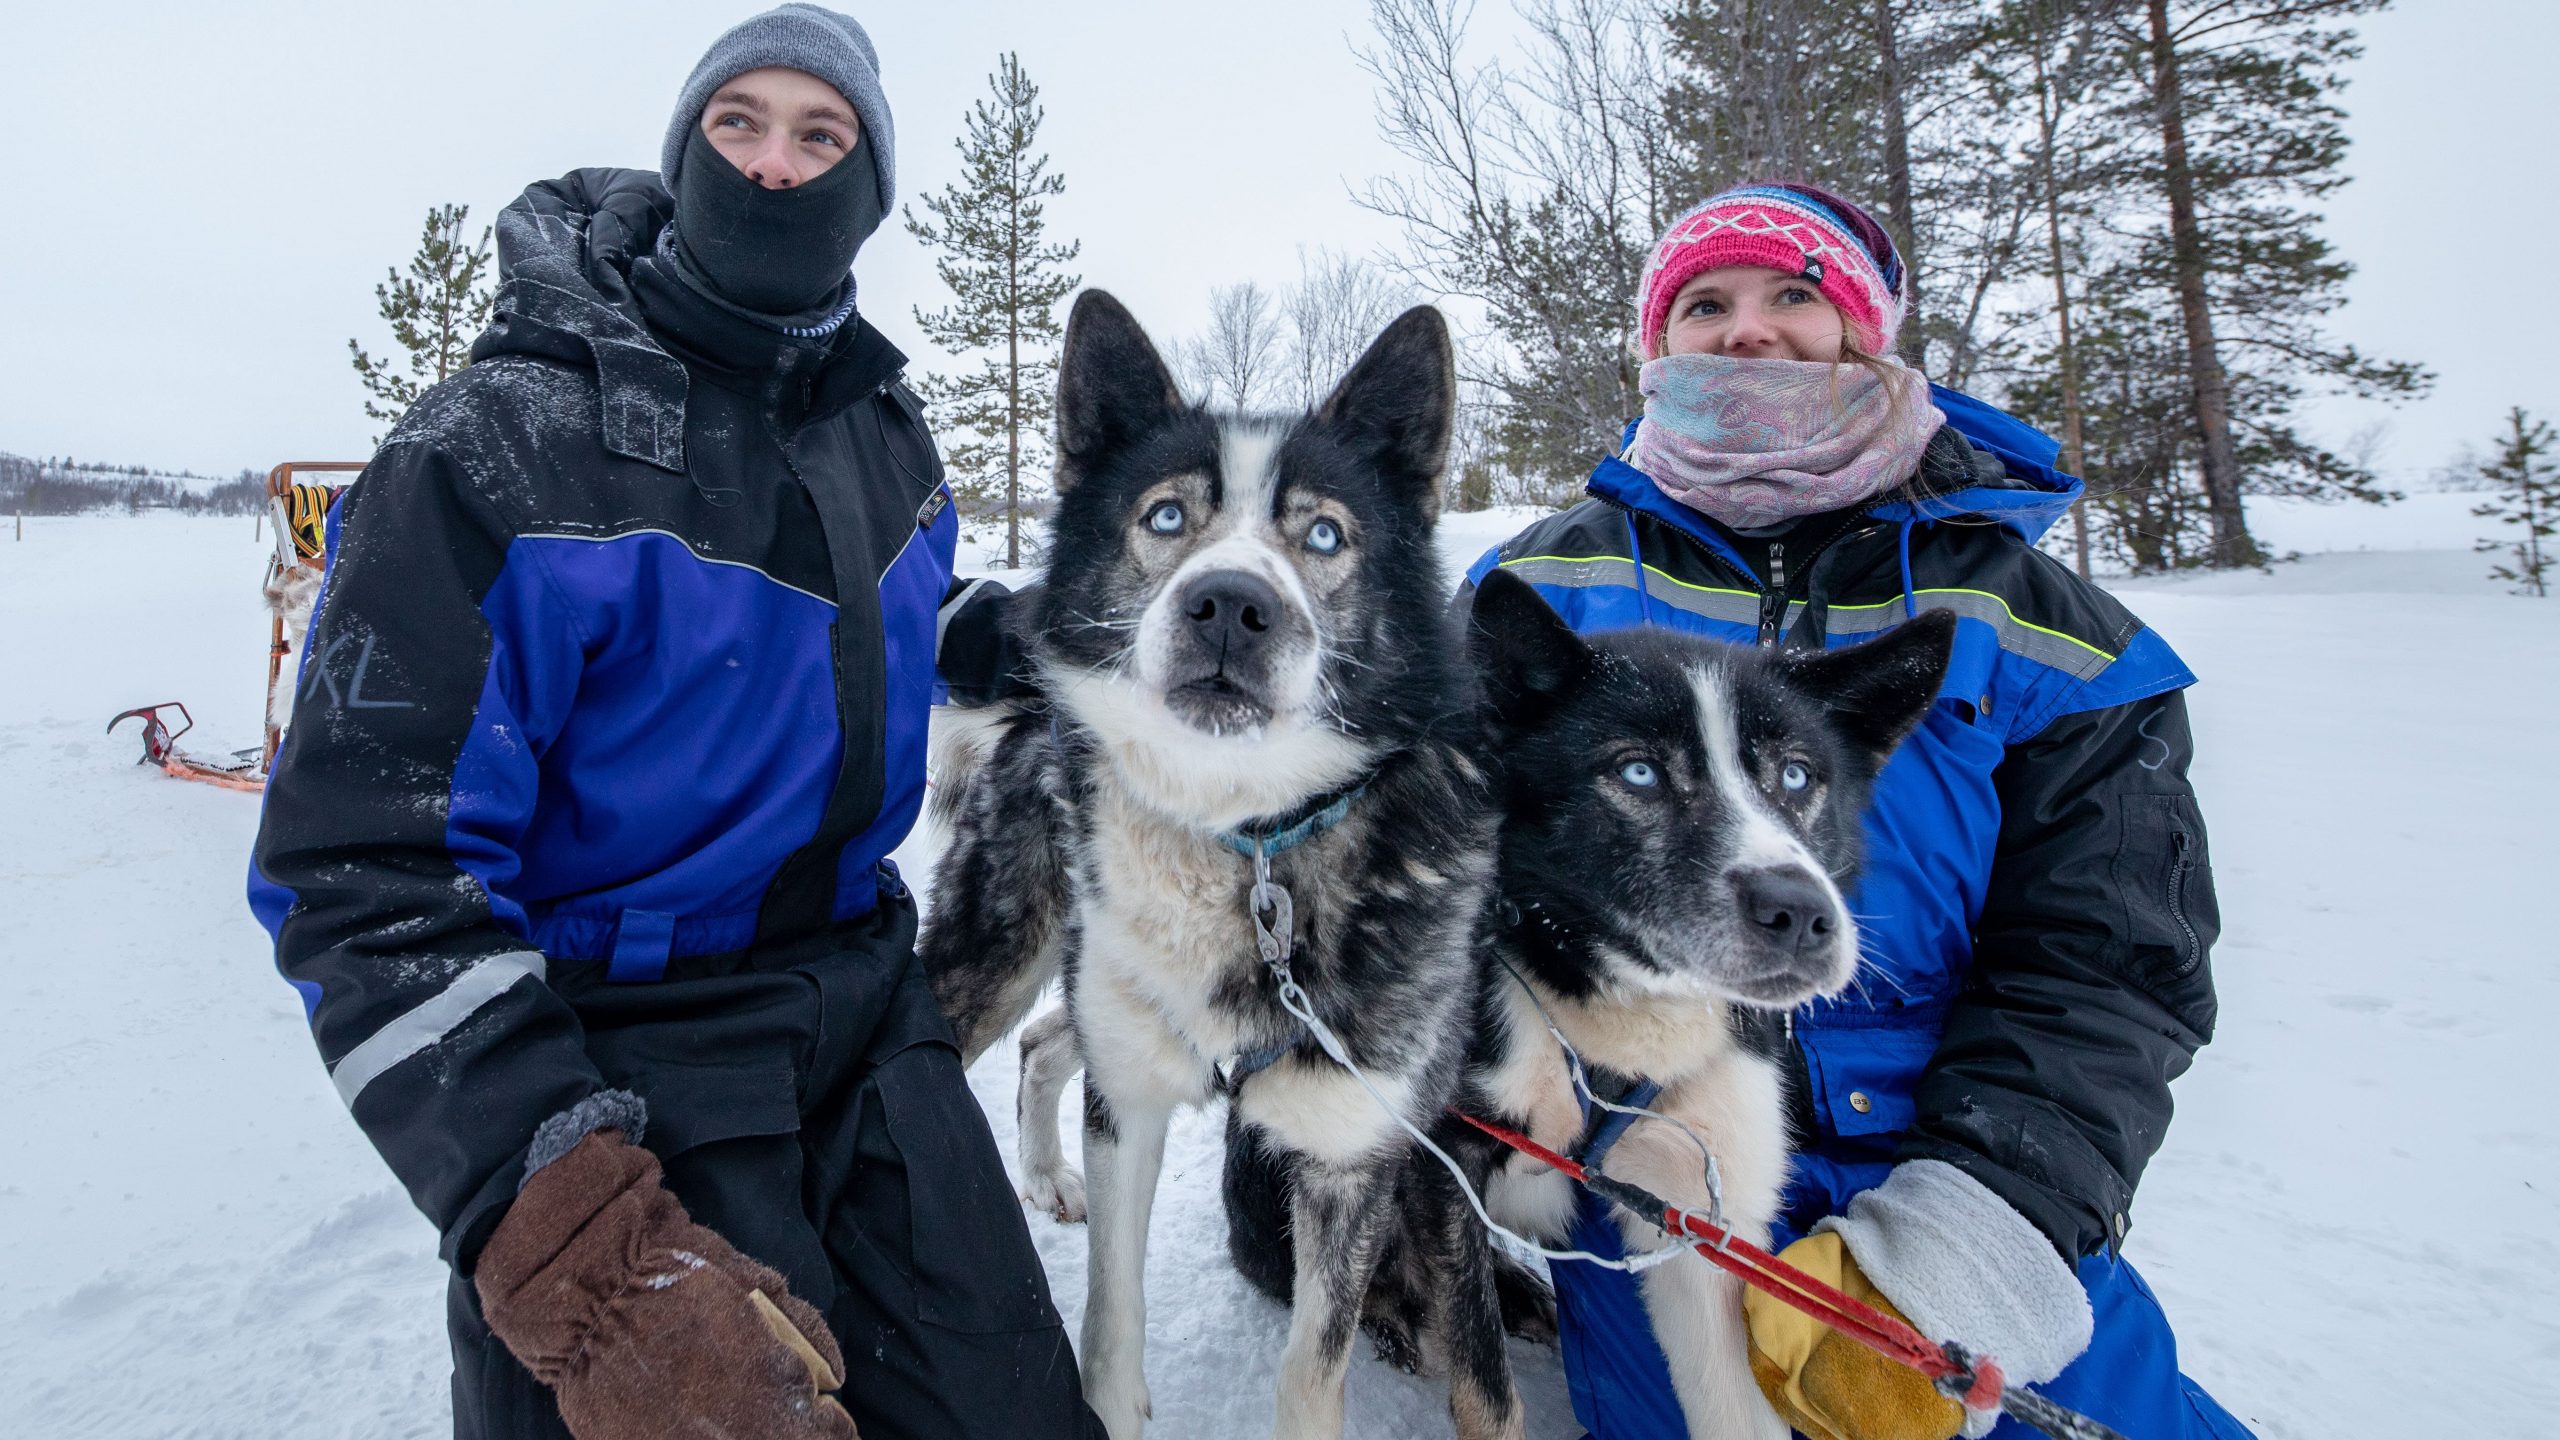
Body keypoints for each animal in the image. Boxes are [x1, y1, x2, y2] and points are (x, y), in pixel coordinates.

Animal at [926, 292, 1515, 1434]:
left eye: (1323, 534)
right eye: (1165, 518)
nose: (1233, 603)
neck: (1247, 844)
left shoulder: (1353, 1153)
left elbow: (1313, 1370)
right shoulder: (1131, 1105)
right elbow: (1111, 1325)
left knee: (1048, 1041)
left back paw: (1044, 1173)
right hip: (1001, 950)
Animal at [1228, 571, 1945, 1434]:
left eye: (1798, 775)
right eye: (1638, 773)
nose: (1800, 910)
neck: (1603, 1017)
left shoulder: (1695, 1202)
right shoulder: (1443, 1160)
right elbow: (1483, 1379)